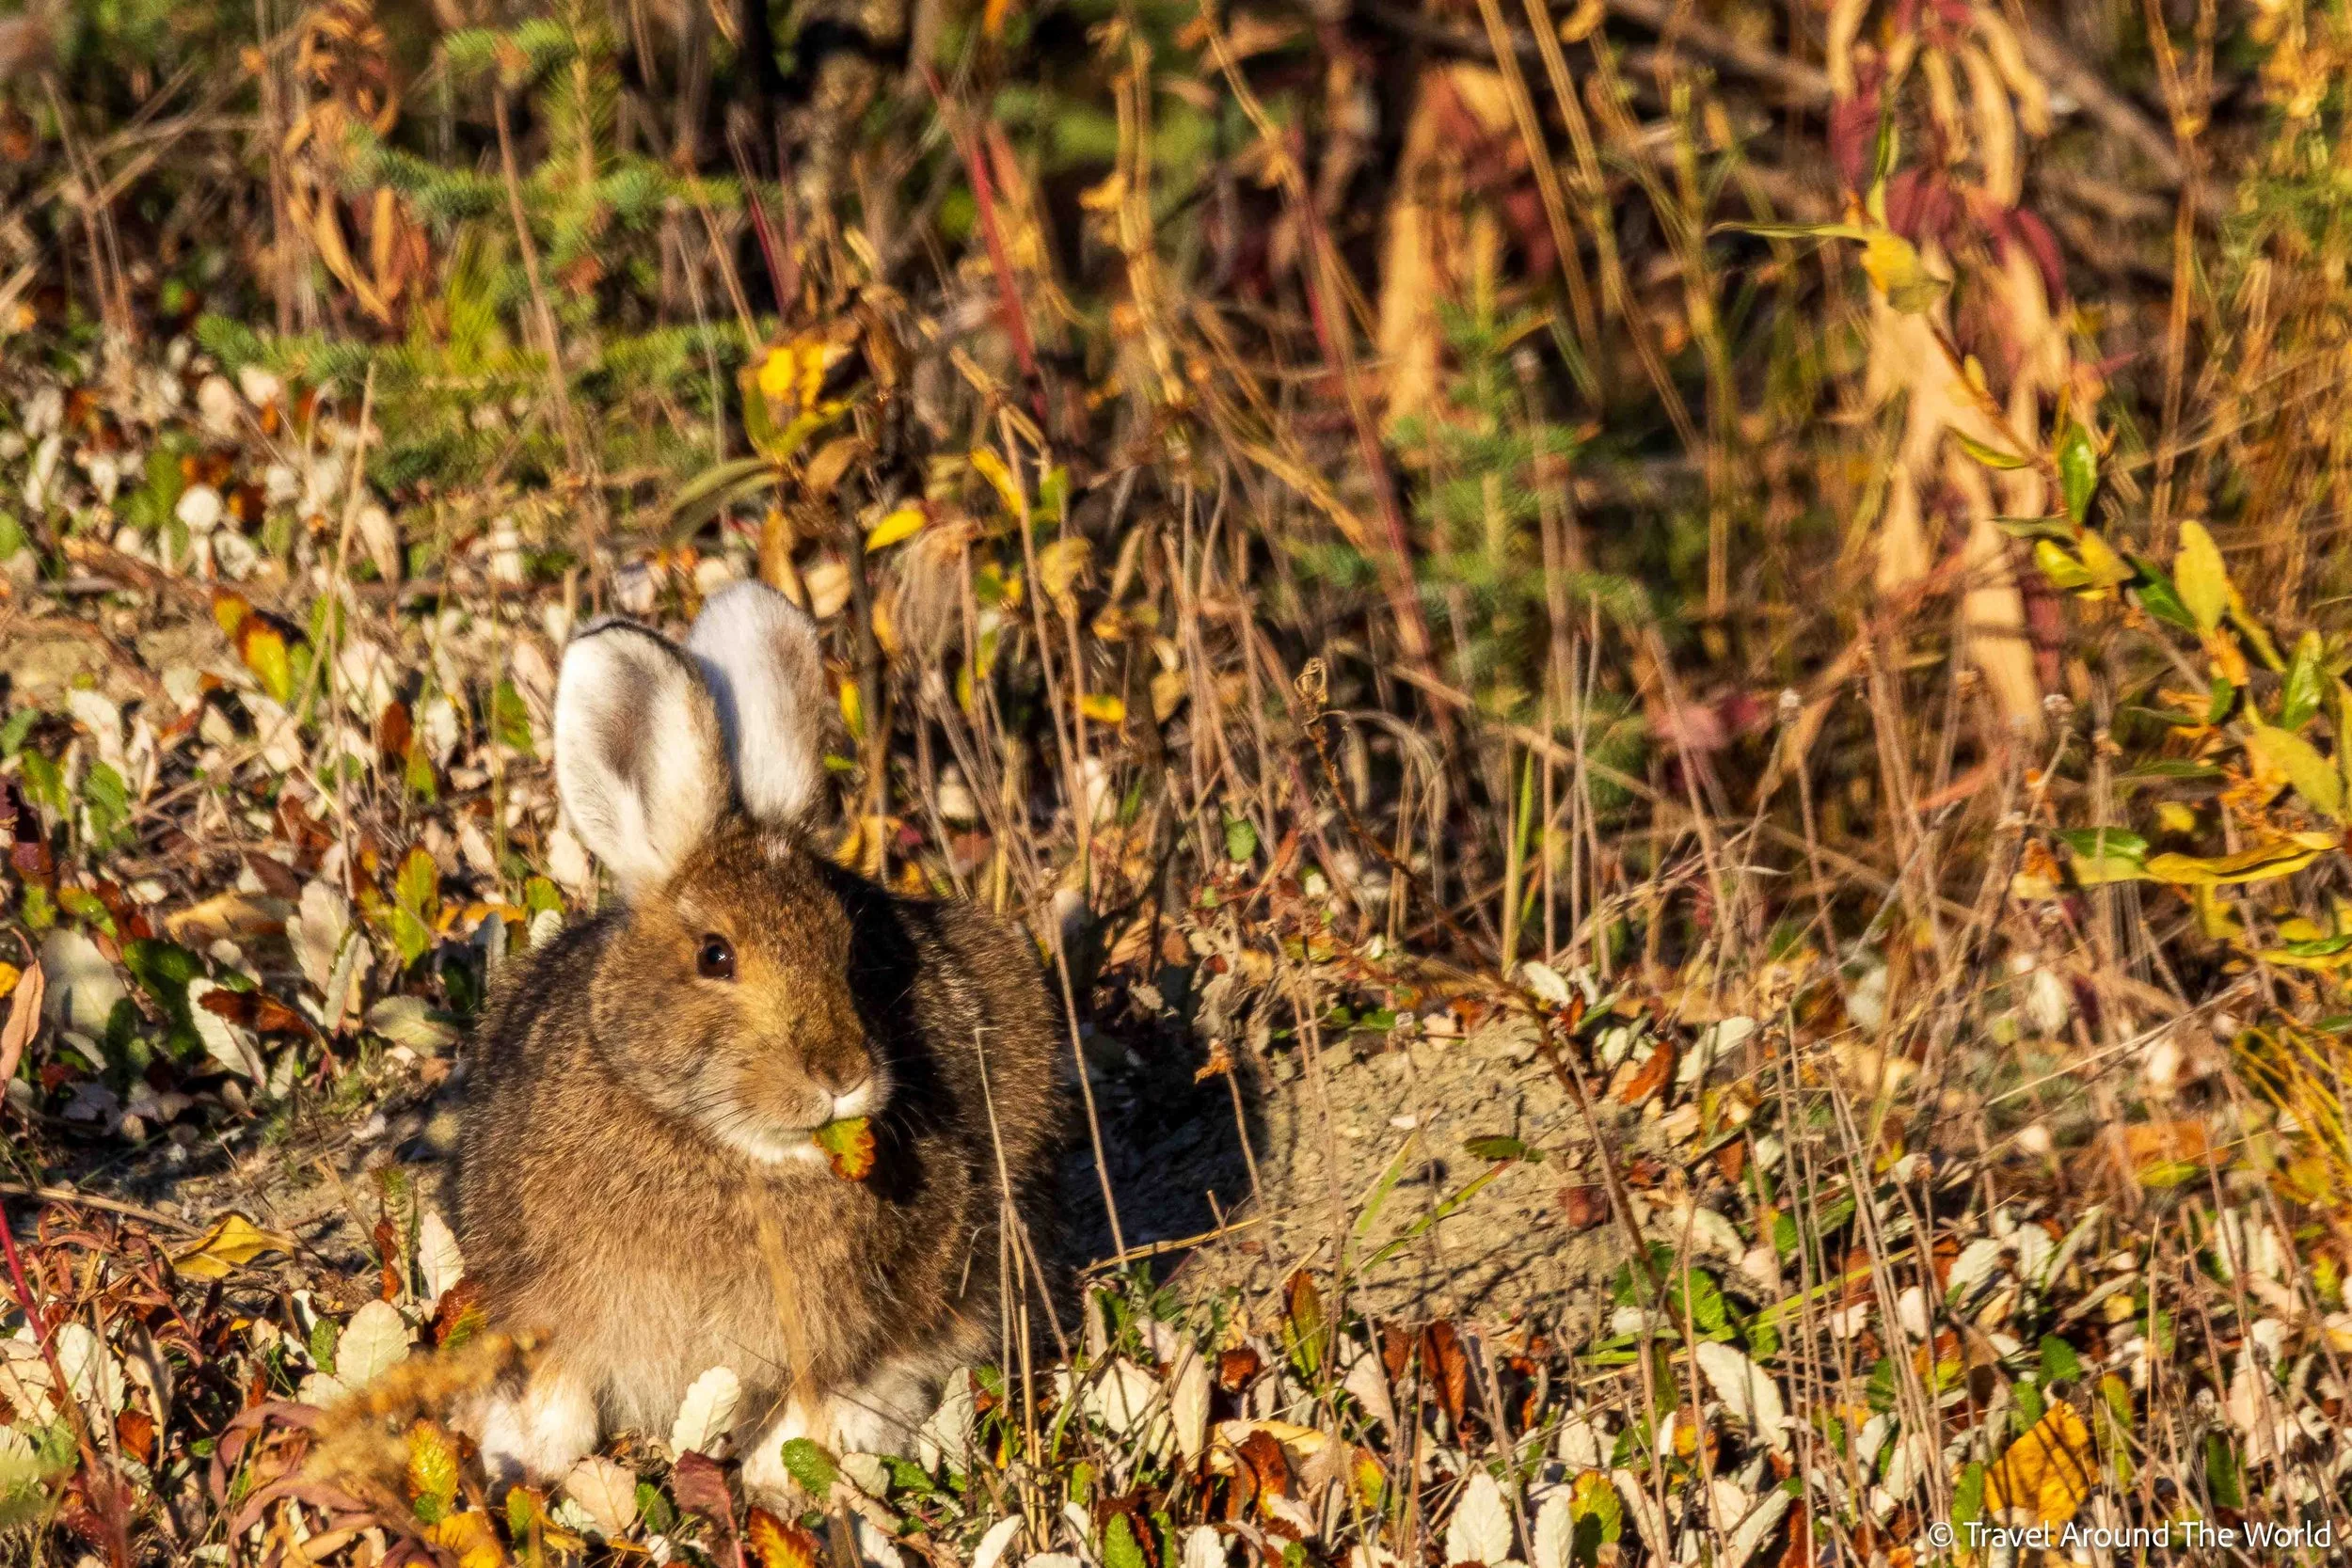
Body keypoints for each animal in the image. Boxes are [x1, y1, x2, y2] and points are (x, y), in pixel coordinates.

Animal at [453, 580, 1065, 1499]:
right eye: (716, 956)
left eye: (847, 947)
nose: (843, 1073)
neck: (719, 1148)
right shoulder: (547, 1300)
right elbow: (555, 1388)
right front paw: (517, 1460)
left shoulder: (851, 1327)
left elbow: (821, 1399)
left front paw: (787, 1481)